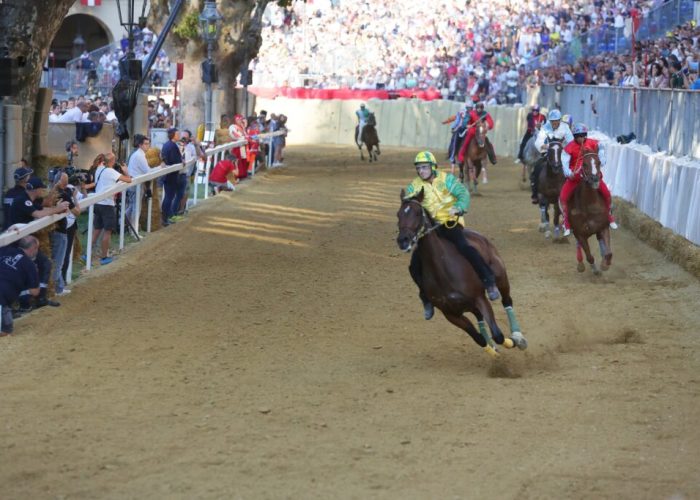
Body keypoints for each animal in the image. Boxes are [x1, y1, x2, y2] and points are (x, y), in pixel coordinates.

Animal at [396, 189, 528, 358]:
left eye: (418, 213)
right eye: (398, 214)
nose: (403, 240)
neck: (443, 271)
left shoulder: (480, 299)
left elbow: (498, 335)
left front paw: (512, 342)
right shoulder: (450, 314)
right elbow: (478, 338)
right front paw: (493, 351)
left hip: (501, 279)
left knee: (507, 301)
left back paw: (518, 336)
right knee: (479, 318)